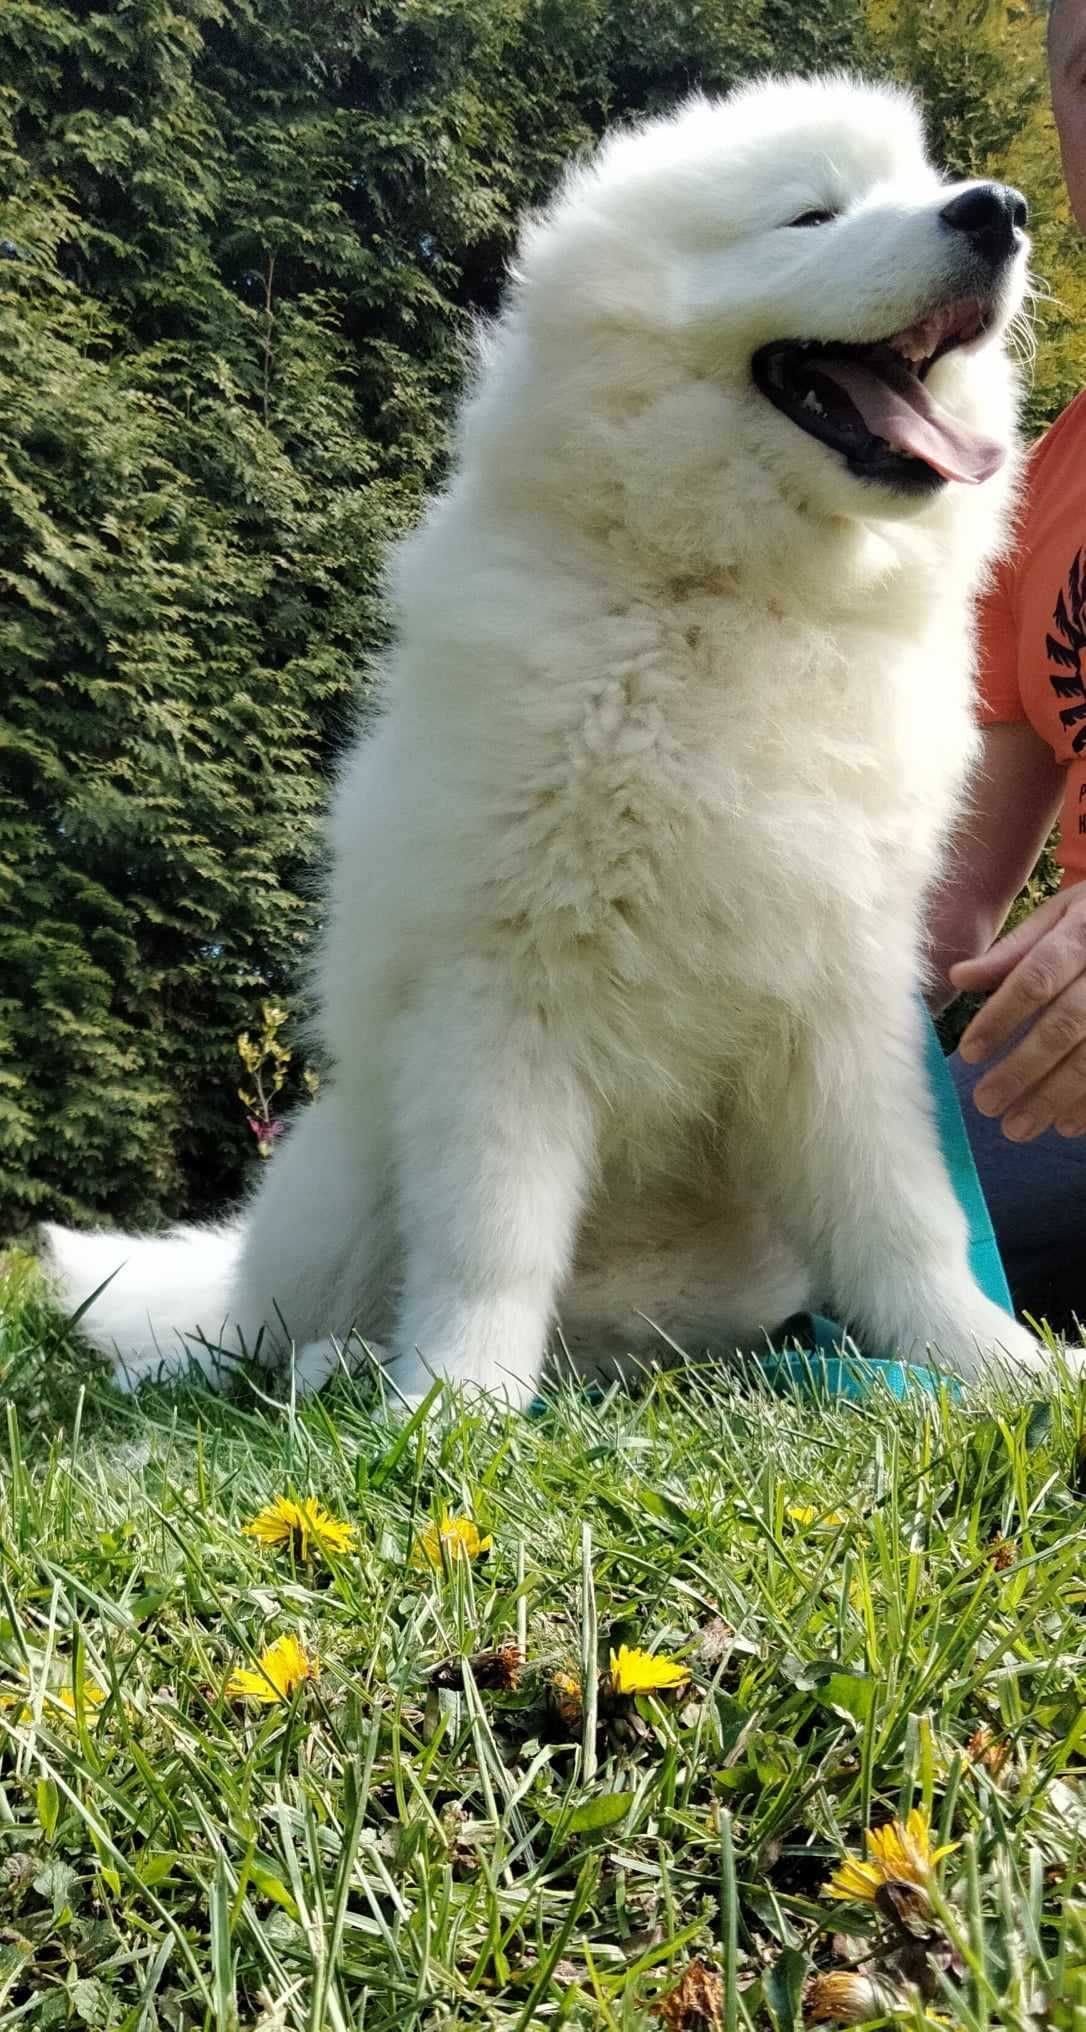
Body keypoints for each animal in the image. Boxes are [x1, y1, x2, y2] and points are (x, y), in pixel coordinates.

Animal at [46, 83, 1057, 1414]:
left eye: (927, 183)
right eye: (811, 214)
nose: (1000, 210)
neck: (730, 598)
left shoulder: (842, 1006)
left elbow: (903, 1221)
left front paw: (996, 1364)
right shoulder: (504, 993)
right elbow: (490, 1240)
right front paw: (453, 1406)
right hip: (343, 1174)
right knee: (258, 1333)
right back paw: (334, 1364)